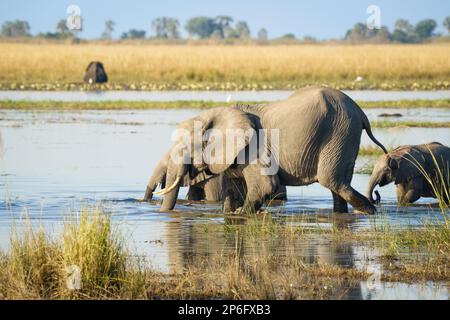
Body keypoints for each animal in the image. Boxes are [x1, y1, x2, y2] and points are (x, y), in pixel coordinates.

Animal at [151, 86, 386, 214]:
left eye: (186, 147)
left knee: (332, 180)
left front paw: (241, 213)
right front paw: (231, 211)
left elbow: (265, 186)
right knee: (337, 185)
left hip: (339, 132)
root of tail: (361, 113)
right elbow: (233, 190)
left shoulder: (254, 147)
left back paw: (370, 211)